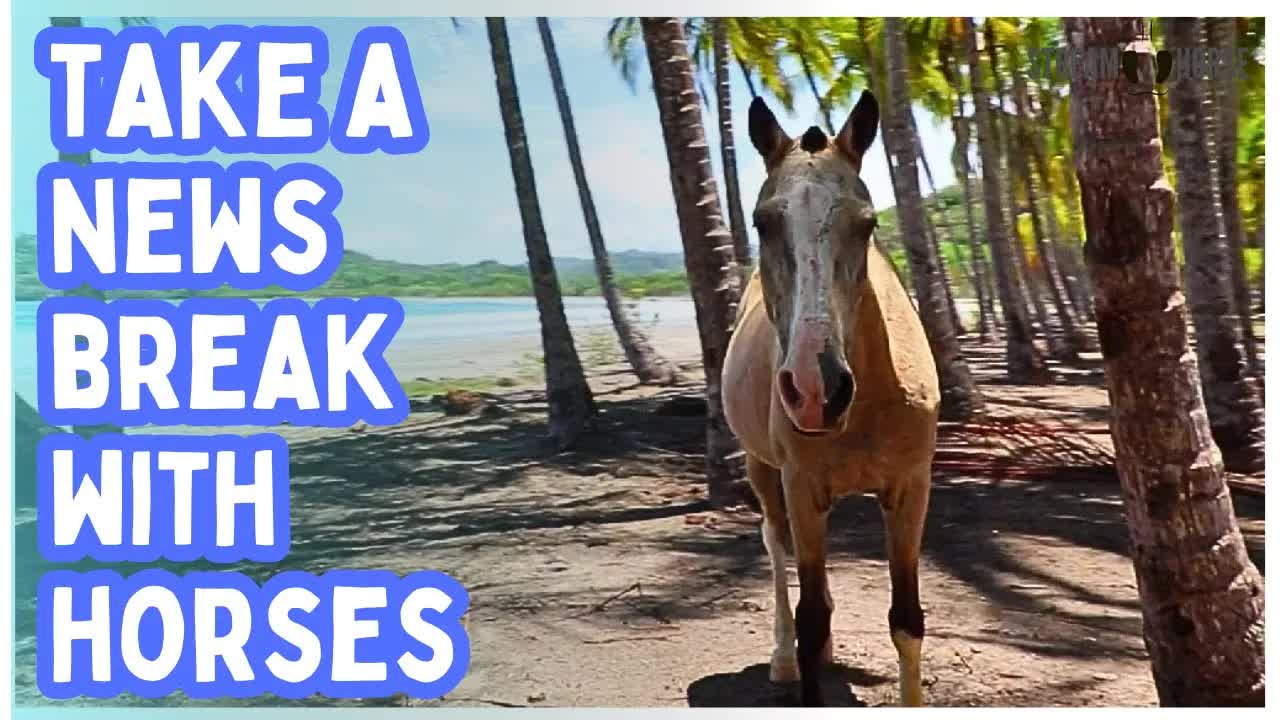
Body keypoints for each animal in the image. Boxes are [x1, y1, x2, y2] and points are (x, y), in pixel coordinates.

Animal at [721, 90, 940, 707]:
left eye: (866, 225)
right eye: (762, 222)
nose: (816, 389)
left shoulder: (910, 489)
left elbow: (906, 619)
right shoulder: (801, 486)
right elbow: (811, 615)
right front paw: (802, 653)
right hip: (764, 471)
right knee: (775, 545)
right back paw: (783, 658)